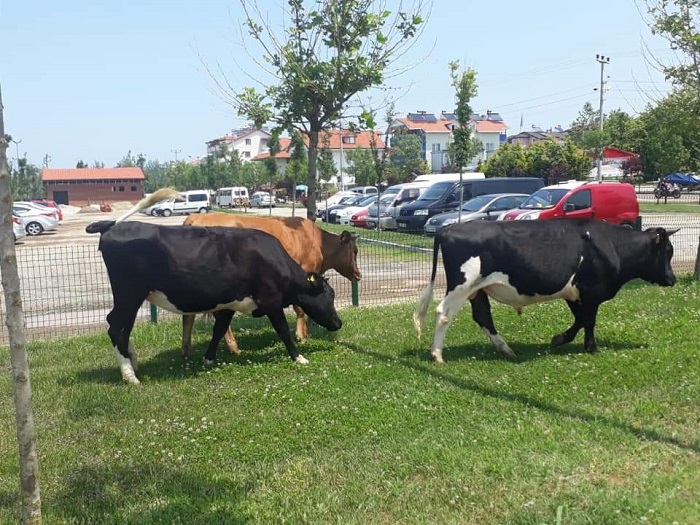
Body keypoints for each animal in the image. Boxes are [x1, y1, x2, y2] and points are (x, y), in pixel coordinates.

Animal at [180, 213, 360, 356]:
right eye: (355, 251)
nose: (358, 275)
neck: (317, 242)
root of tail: (195, 217)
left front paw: (305, 333)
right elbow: (300, 308)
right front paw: (301, 336)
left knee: (188, 316)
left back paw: (187, 351)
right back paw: (233, 347)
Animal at [412, 218, 676, 360]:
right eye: (667, 251)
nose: (672, 279)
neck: (611, 244)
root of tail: (448, 229)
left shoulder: (573, 292)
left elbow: (581, 319)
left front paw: (561, 338)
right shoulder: (591, 290)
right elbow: (589, 320)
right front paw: (589, 347)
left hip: (477, 290)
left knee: (483, 316)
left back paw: (506, 349)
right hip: (461, 286)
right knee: (443, 314)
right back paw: (437, 354)